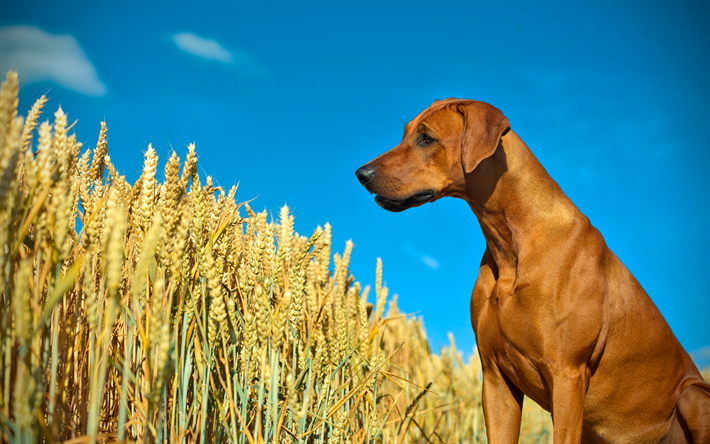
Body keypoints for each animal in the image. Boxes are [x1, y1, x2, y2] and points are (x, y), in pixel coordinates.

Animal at [358, 98, 708, 444]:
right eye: (405, 134)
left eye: (426, 138)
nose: (361, 173)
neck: (510, 244)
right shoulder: (495, 378)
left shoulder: (567, 375)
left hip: (693, 395)